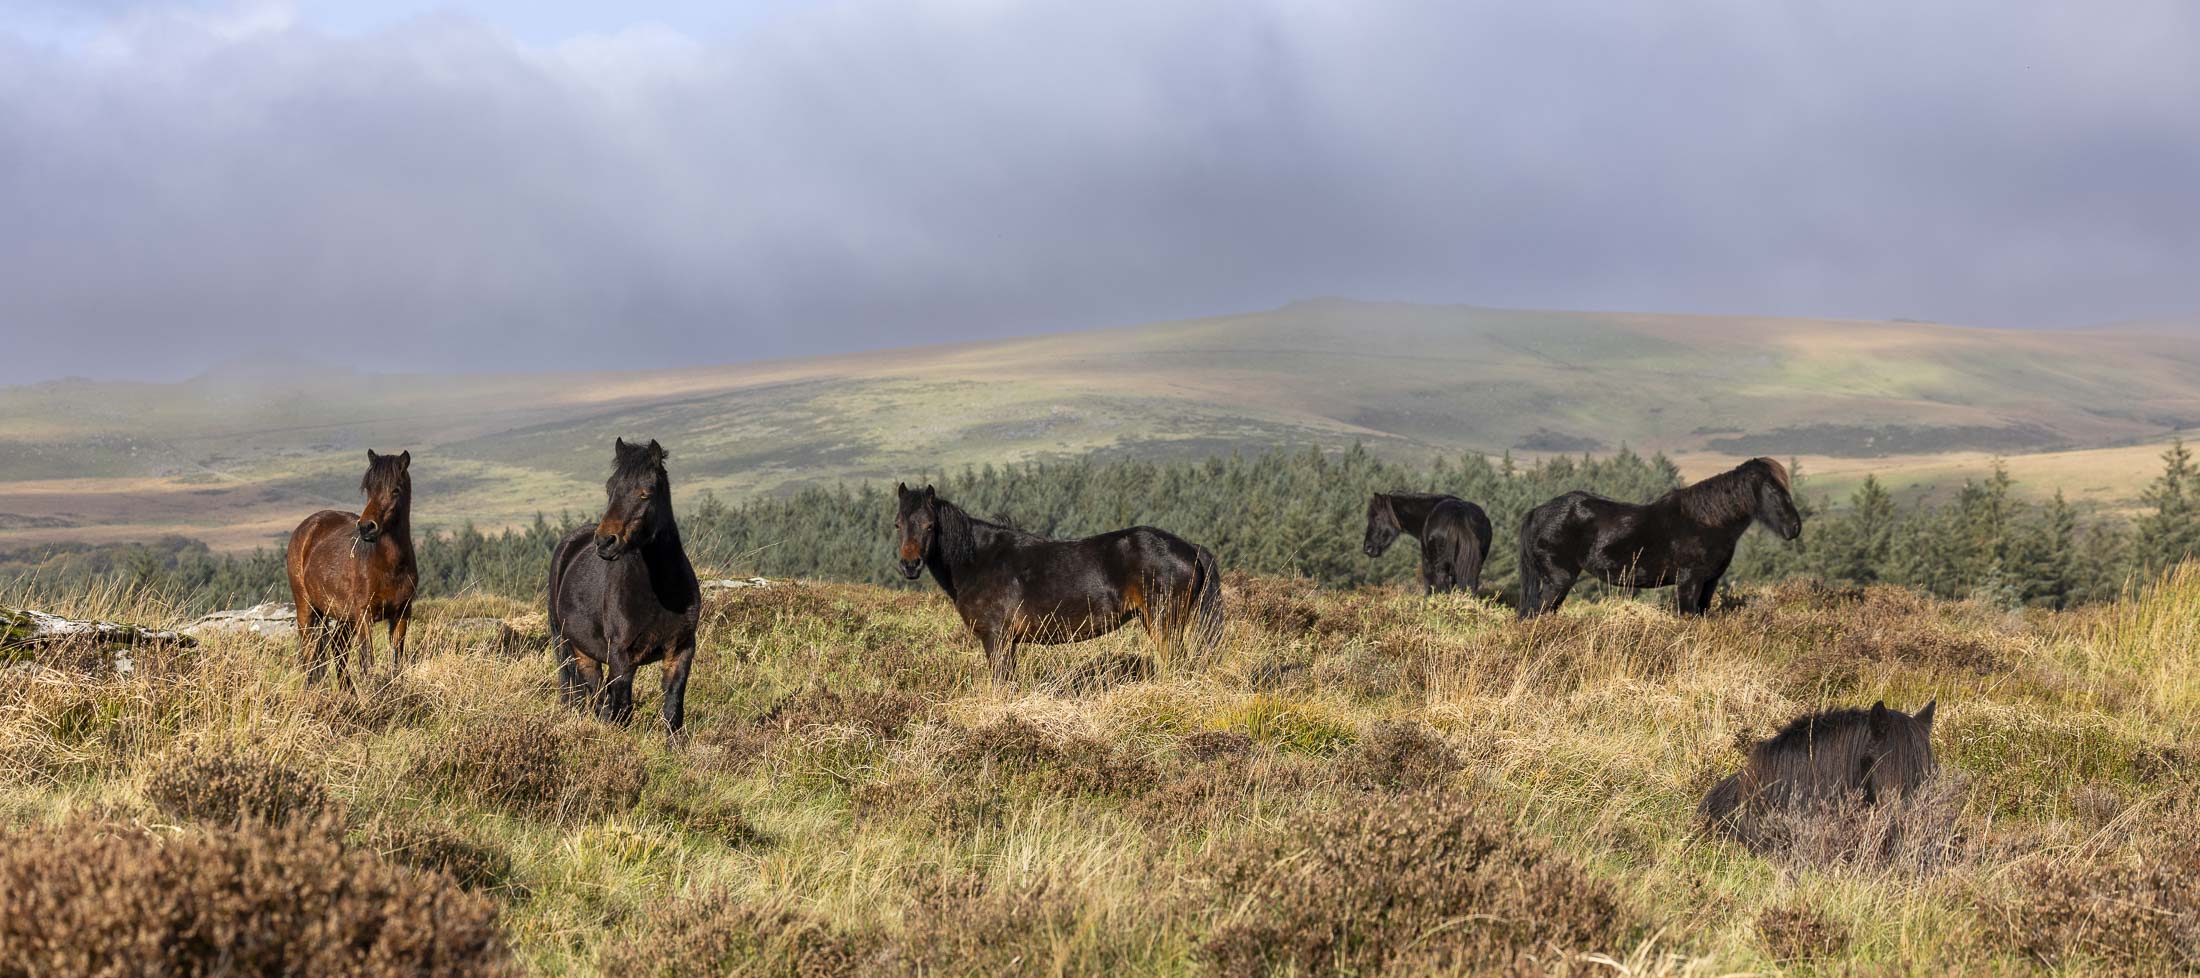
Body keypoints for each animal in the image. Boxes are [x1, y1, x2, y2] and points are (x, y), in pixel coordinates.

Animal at [285, 450, 418, 689]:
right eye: (369, 488)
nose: (366, 527)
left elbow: (396, 661)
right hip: (306, 608)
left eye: (396, 490)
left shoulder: (402, 613)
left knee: (337, 647)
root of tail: (307, 527)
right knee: (309, 654)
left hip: (343, 616)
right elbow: (367, 661)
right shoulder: (364, 615)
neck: (387, 565)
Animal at [549, 439, 700, 738]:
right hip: (571, 648)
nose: (605, 542)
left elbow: (673, 711)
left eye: (646, 493)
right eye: (610, 488)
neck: (661, 592)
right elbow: (620, 711)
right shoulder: (620, 657)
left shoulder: (682, 650)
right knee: (589, 698)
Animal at [894, 483, 1222, 683]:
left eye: (930, 525)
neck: (979, 560)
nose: (910, 565)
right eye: (898, 524)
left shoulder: (996, 638)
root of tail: (1192, 549)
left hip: (1164, 621)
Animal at [1516, 456, 1800, 618]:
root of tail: (1536, 512)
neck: (1705, 522)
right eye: (1772, 489)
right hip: (1558, 581)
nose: (1794, 528)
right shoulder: (1689, 581)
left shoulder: (1709, 583)